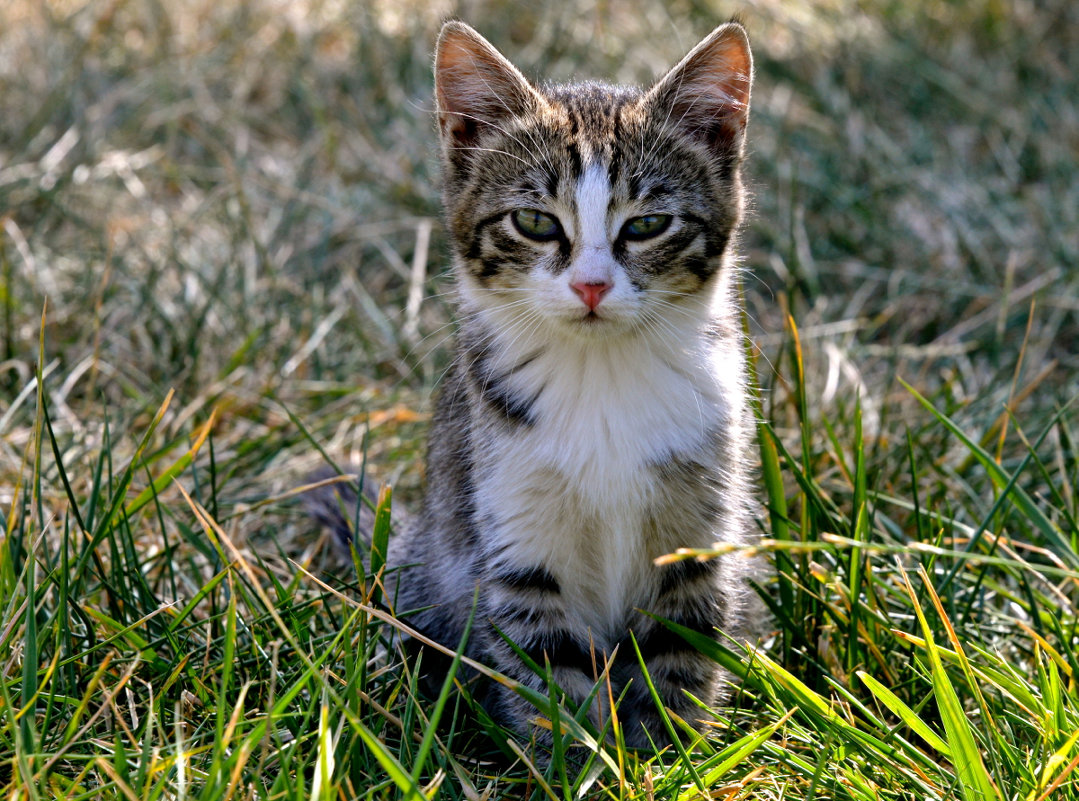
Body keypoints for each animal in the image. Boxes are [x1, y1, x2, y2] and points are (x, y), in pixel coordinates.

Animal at [308, 18, 755, 751]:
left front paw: (667, 755)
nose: (591, 285)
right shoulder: (516, 537)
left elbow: (677, 655)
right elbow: (550, 675)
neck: (600, 374)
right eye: (536, 221)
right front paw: (577, 761)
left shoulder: (698, 530)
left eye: (647, 224)